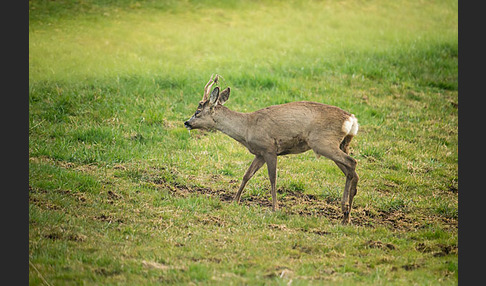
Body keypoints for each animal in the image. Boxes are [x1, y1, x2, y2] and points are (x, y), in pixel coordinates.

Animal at [184, 74, 358, 223]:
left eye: (197, 112)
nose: (187, 122)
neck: (247, 128)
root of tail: (351, 119)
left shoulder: (269, 149)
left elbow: (272, 178)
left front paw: (275, 208)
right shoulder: (259, 154)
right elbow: (246, 175)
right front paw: (235, 201)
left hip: (322, 142)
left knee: (352, 162)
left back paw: (345, 209)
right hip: (341, 144)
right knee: (352, 171)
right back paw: (347, 215)